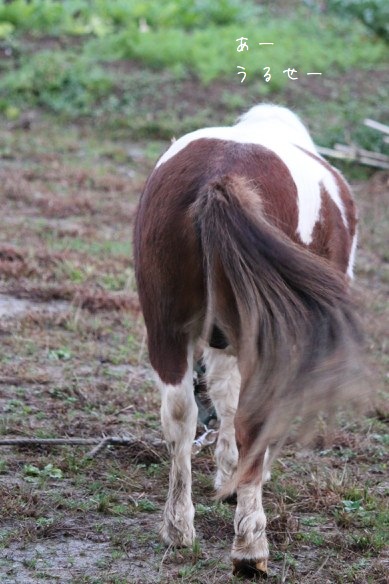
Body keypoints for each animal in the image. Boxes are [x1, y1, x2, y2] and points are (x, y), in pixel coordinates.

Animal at [133, 104, 360, 576]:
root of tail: (221, 176)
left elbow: (224, 397)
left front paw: (227, 475)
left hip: (165, 325)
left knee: (180, 416)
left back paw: (179, 528)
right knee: (253, 419)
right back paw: (250, 548)